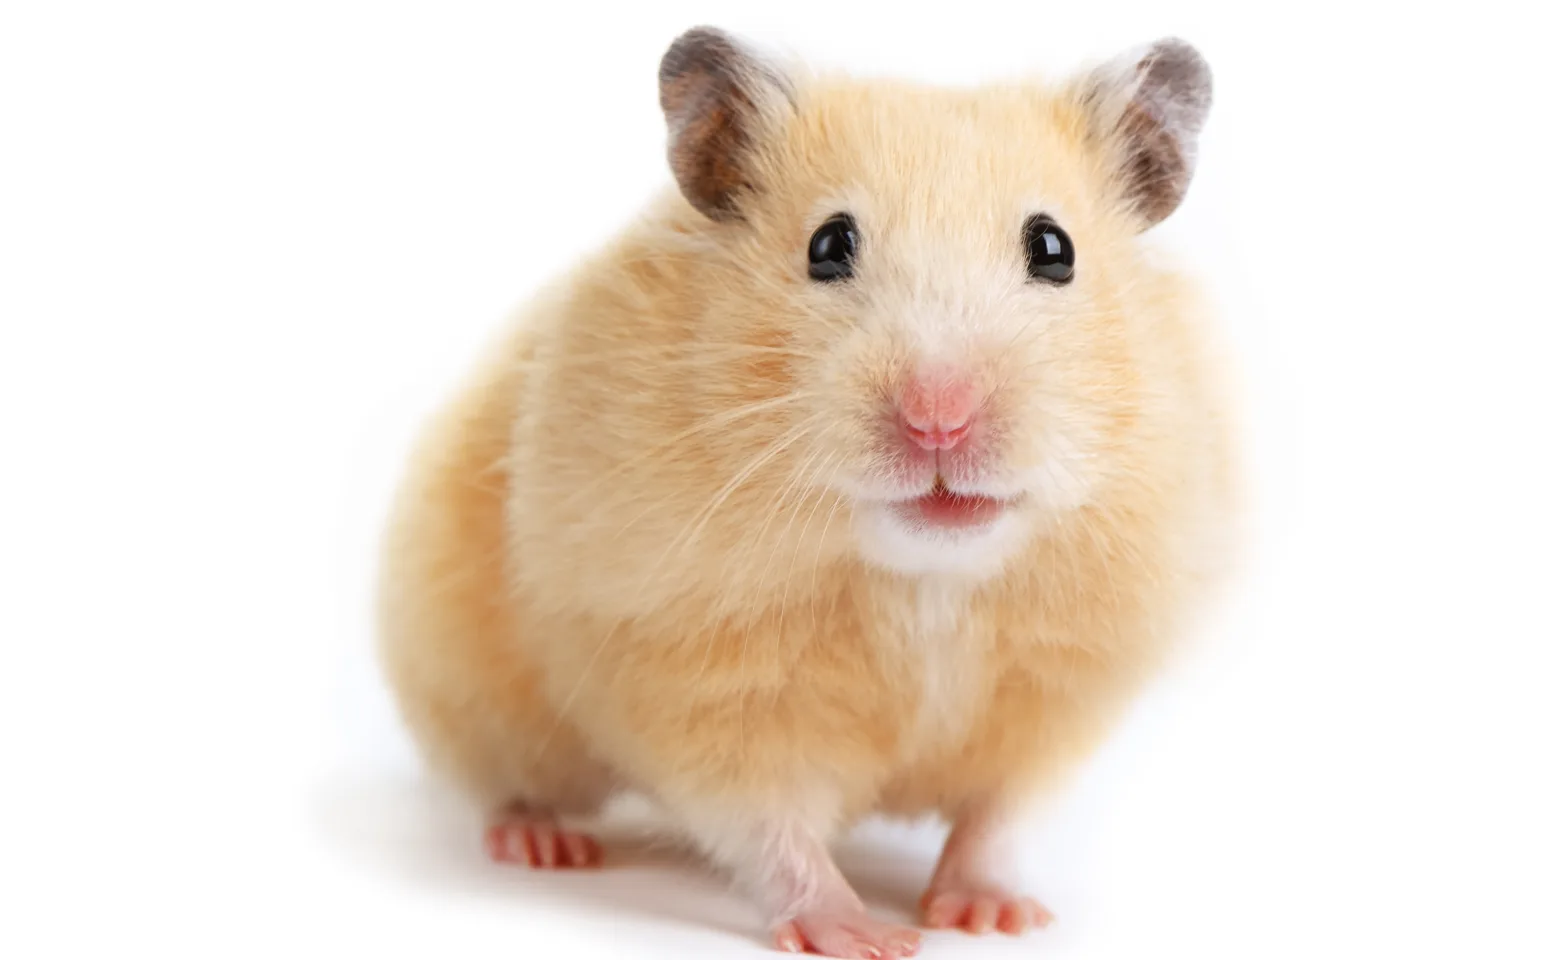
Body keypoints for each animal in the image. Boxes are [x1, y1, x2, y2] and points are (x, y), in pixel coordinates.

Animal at [378, 25, 1236, 959]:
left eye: (1055, 249)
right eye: (828, 245)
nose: (939, 419)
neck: (926, 579)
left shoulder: (1056, 700)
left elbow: (1000, 817)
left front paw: (993, 916)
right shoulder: (695, 683)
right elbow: (771, 826)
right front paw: (868, 935)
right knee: (506, 783)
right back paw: (541, 844)